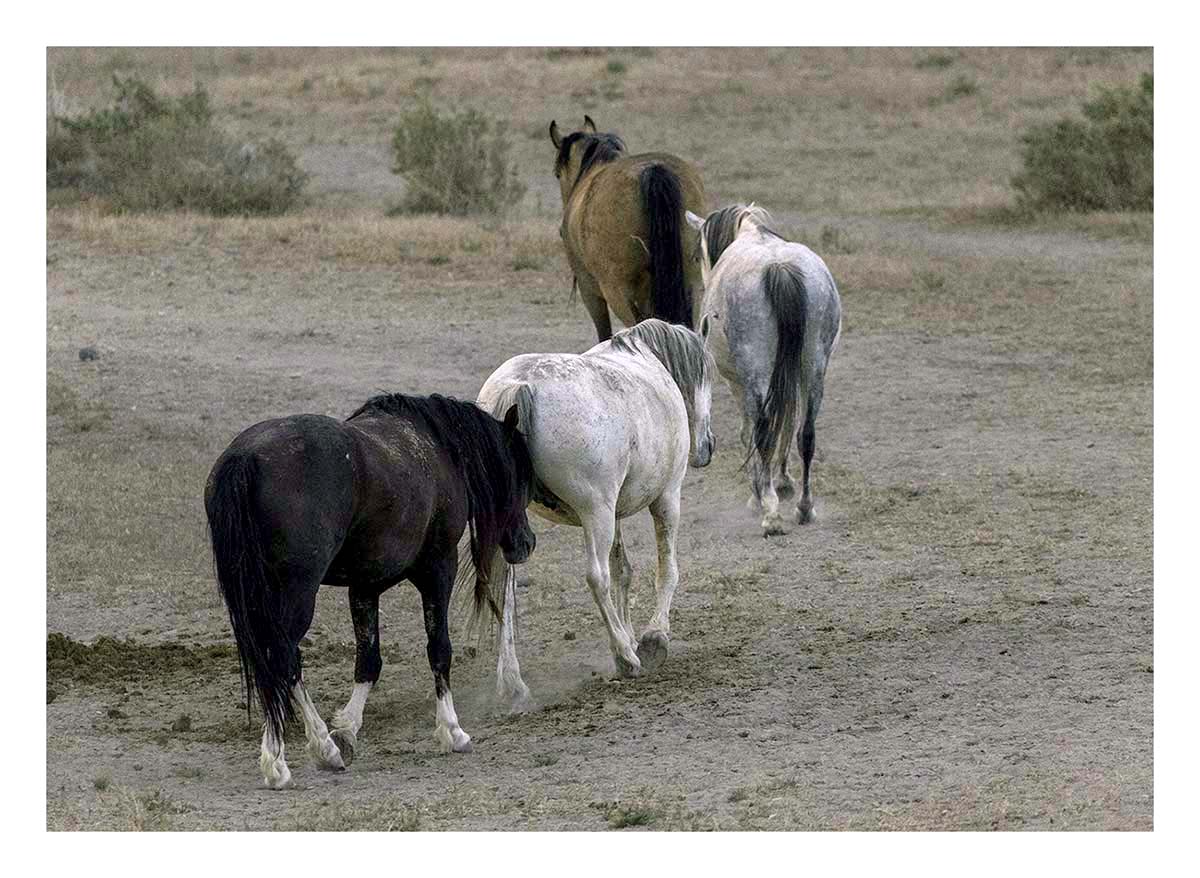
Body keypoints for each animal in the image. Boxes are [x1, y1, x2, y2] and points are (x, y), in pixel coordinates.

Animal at [204, 393, 536, 789]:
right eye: (521, 475)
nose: (526, 542)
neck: (438, 448)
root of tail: (246, 458)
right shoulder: (439, 568)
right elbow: (439, 649)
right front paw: (452, 731)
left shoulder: (365, 586)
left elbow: (369, 660)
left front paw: (347, 730)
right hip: (296, 593)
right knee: (281, 658)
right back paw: (285, 761)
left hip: (261, 598)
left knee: (281, 663)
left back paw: (320, 748)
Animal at [476, 319, 715, 707]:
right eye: (708, 373)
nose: (707, 447)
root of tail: (521, 386)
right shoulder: (666, 498)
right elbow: (666, 571)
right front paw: (653, 639)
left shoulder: (615, 514)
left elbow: (623, 572)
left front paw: (631, 631)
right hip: (595, 514)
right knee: (596, 578)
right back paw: (625, 657)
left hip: (522, 526)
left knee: (506, 590)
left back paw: (512, 682)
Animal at [684, 204, 843, 536]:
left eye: (696, 256)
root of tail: (779, 267)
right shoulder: (790, 376)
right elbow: (787, 424)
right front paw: (783, 483)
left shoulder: (738, 384)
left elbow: (749, 433)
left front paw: (759, 493)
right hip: (813, 368)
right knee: (806, 433)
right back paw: (804, 507)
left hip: (756, 375)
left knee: (763, 433)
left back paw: (770, 513)